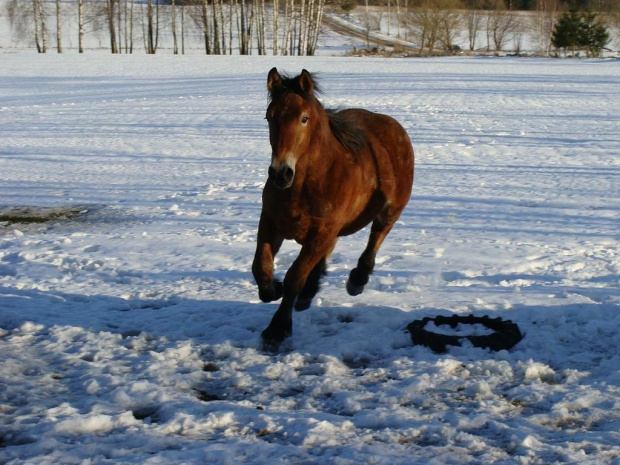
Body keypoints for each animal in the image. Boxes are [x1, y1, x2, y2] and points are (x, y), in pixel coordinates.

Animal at [249, 69, 414, 348]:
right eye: (269, 117)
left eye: (304, 118)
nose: (280, 174)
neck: (305, 184)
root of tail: (393, 125)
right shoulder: (271, 222)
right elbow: (260, 266)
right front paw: (272, 289)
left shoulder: (321, 232)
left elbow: (295, 276)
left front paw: (277, 329)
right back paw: (309, 292)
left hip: (390, 211)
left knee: (376, 236)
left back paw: (357, 280)